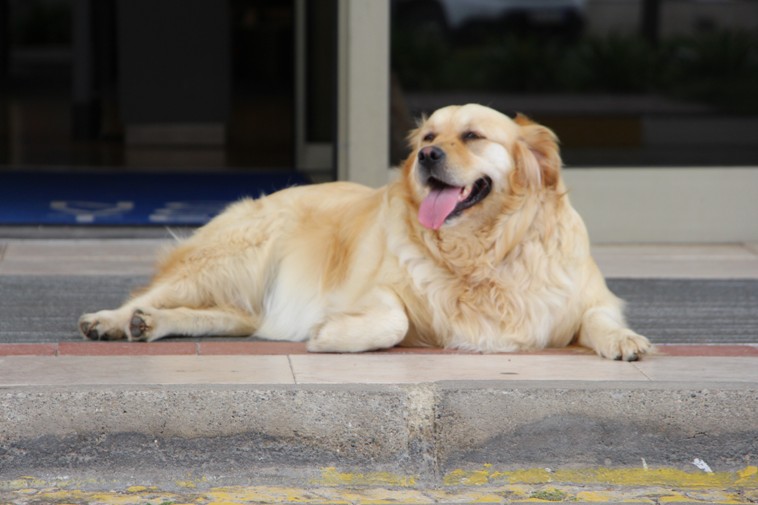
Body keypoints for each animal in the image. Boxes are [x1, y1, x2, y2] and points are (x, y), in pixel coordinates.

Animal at [81, 104, 652, 360]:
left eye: (472, 136)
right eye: (428, 135)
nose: (427, 155)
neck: (482, 251)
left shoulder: (587, 296)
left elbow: (600, 318)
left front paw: (626, 340)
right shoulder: (369, 288)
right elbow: (394, 320)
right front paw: (332, 333)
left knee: (230, 317)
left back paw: (152, 324)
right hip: (234, 256)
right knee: (149, 294)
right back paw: (114, 320)